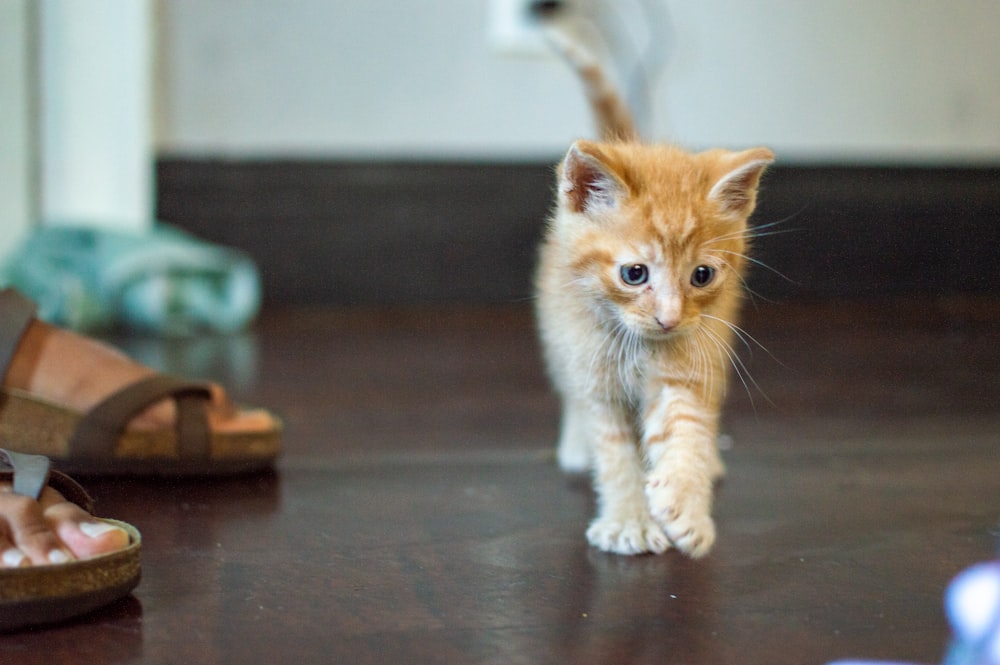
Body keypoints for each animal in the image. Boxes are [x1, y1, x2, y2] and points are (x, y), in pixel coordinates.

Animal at [532, 3, 772, 556]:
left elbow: (686, 424)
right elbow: (615, 451)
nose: (668, 318)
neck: (639, 345)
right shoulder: (593, 369)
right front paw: (629, 520)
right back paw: (574, 446)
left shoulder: (692, 354)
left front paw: (685, 500)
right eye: (634, 273)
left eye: (701, 275)